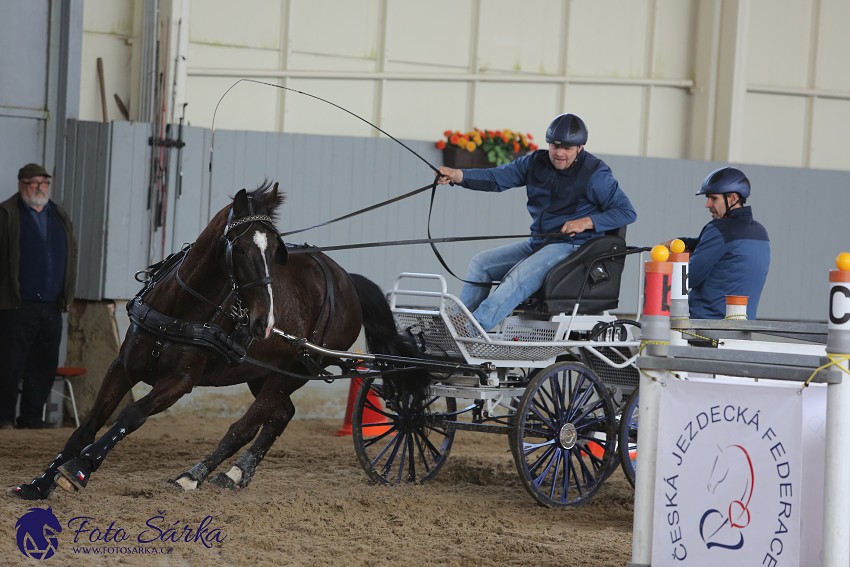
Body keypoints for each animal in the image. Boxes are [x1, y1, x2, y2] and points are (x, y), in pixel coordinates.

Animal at [12, 182, 424, 502]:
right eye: (239, 249)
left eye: (276, 251)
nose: (264, 321)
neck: (180, 309)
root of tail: (347, 280)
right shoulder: (123, 366)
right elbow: (88, 425)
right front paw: (41, 481)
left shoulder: (179, 382)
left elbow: (132, 415)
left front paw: (81, 468)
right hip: (261, 371)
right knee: (280, 415)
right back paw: (235, 474)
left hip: (295, 370)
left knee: (246, 424)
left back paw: (194, 474)